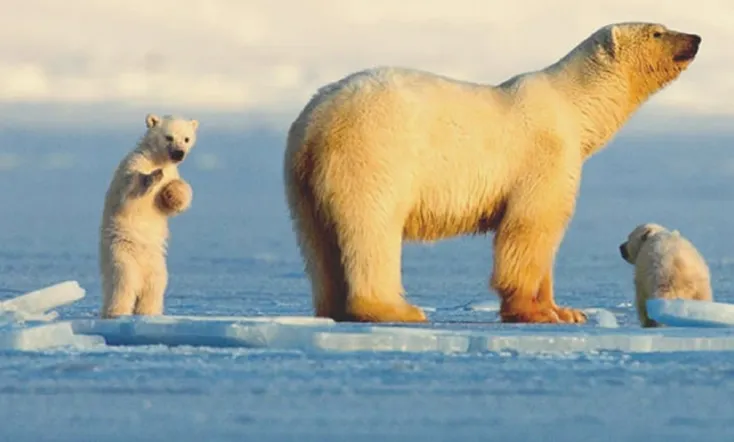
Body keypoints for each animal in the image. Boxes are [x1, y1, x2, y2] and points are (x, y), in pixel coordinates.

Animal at [99, 114, 198, 319]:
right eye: (169, 137)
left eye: (186, 139)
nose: (179, 153)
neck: (157, 159)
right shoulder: (133, 164)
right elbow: (130, 189)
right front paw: (153, 176)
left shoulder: (173, 172)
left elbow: (170, 202)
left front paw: (174, 192)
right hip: (122, 254)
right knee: (123, 285)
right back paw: (116, 313)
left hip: (157, 264)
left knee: (154, 288)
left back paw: (149, 313)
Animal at [283, 22, 701, 324]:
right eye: (657, 31)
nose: (696, 38)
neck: (573, 106)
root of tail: (315, 121)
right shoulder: (544, 156)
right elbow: (530, 228)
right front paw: (536, 313)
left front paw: (568, 311)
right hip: (373, 155)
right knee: (372, 228)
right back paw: (395, 309)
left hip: (301, 178)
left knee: (317, 242)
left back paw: (333, 307)